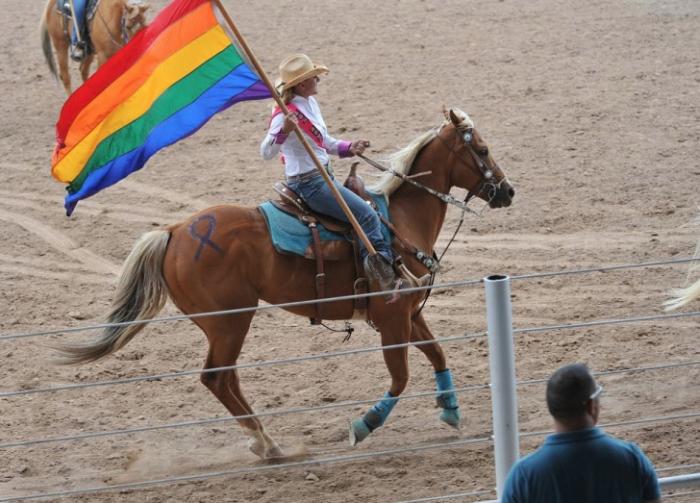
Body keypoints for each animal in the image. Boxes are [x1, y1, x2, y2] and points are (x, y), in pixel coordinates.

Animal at [57, 110, 516, 460]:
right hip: (230, 322)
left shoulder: (408, 312)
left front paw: (451, 411)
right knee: (217, 378)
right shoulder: (392, 317)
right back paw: (268, 444)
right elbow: (400, 378)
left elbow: (437, 354)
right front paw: (362, 425)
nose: (507, 191)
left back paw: (264, 442)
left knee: (225, 379)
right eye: (482, 150)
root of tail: (175, 231)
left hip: (225, 325)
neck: (399, 221)